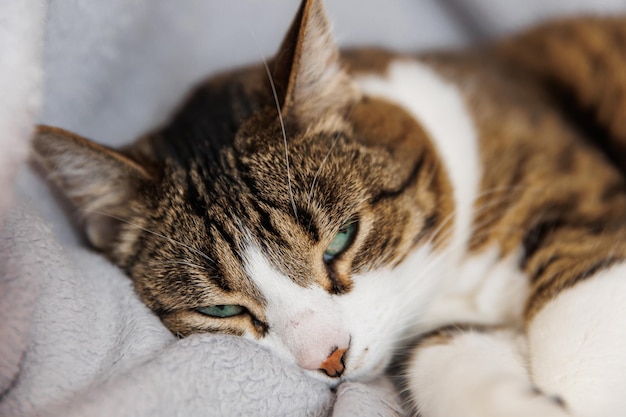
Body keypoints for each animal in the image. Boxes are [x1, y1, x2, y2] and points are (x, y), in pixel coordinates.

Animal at [30, 0, 626, 414]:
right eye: (219, 310)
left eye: (341, 239)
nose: (330, 359)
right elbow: (442, 357)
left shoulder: (573, 186)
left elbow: (584, 297)